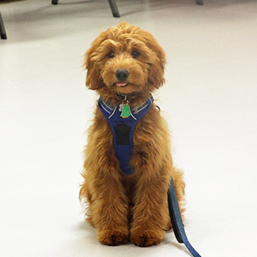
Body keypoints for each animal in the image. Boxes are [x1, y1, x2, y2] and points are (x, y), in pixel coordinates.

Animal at [79, 22, 184, 246]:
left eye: (135, 53)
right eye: (110, 54)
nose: (121, 73)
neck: (124, 108)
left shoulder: (154, 165)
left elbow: (151, 200)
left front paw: (146, 232)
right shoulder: (102, 165)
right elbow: (108, 199)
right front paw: (112, 231)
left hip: (175, 178)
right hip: (88, 181)